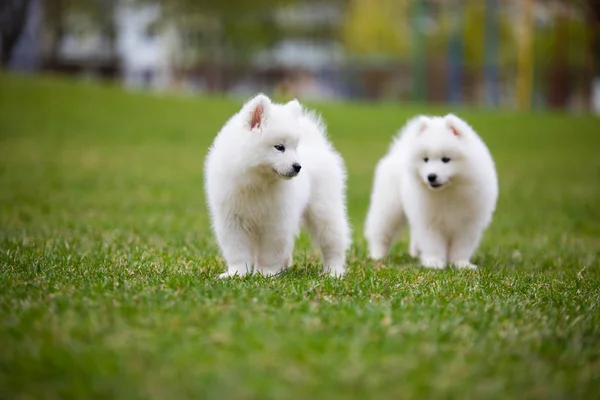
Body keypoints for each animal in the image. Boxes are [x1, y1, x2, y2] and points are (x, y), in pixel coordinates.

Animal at [205, 93, 350, 278]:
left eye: (295, 148)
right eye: (279, 147)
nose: (298, 166)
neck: (257, 181)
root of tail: (319, 145)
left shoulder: (276, 222)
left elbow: (269, 252)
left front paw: (264, 273)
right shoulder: (232, 220)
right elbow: (237, 252)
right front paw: (237, 273)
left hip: (324, 212)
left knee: (333, 244)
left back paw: (334, 272)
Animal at [366, 113, 496, 268]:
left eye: (446, 159)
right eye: (426, 159)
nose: (431, 176)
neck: (448, 191)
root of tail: (399, 150)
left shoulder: (468, 224)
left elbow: (462, 247)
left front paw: (461, 264)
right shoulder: (429, 222)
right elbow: (433, 244)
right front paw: (434, 263)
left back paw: (415, 252)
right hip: (389, 208)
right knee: (380, 233)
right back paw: (377, 256)